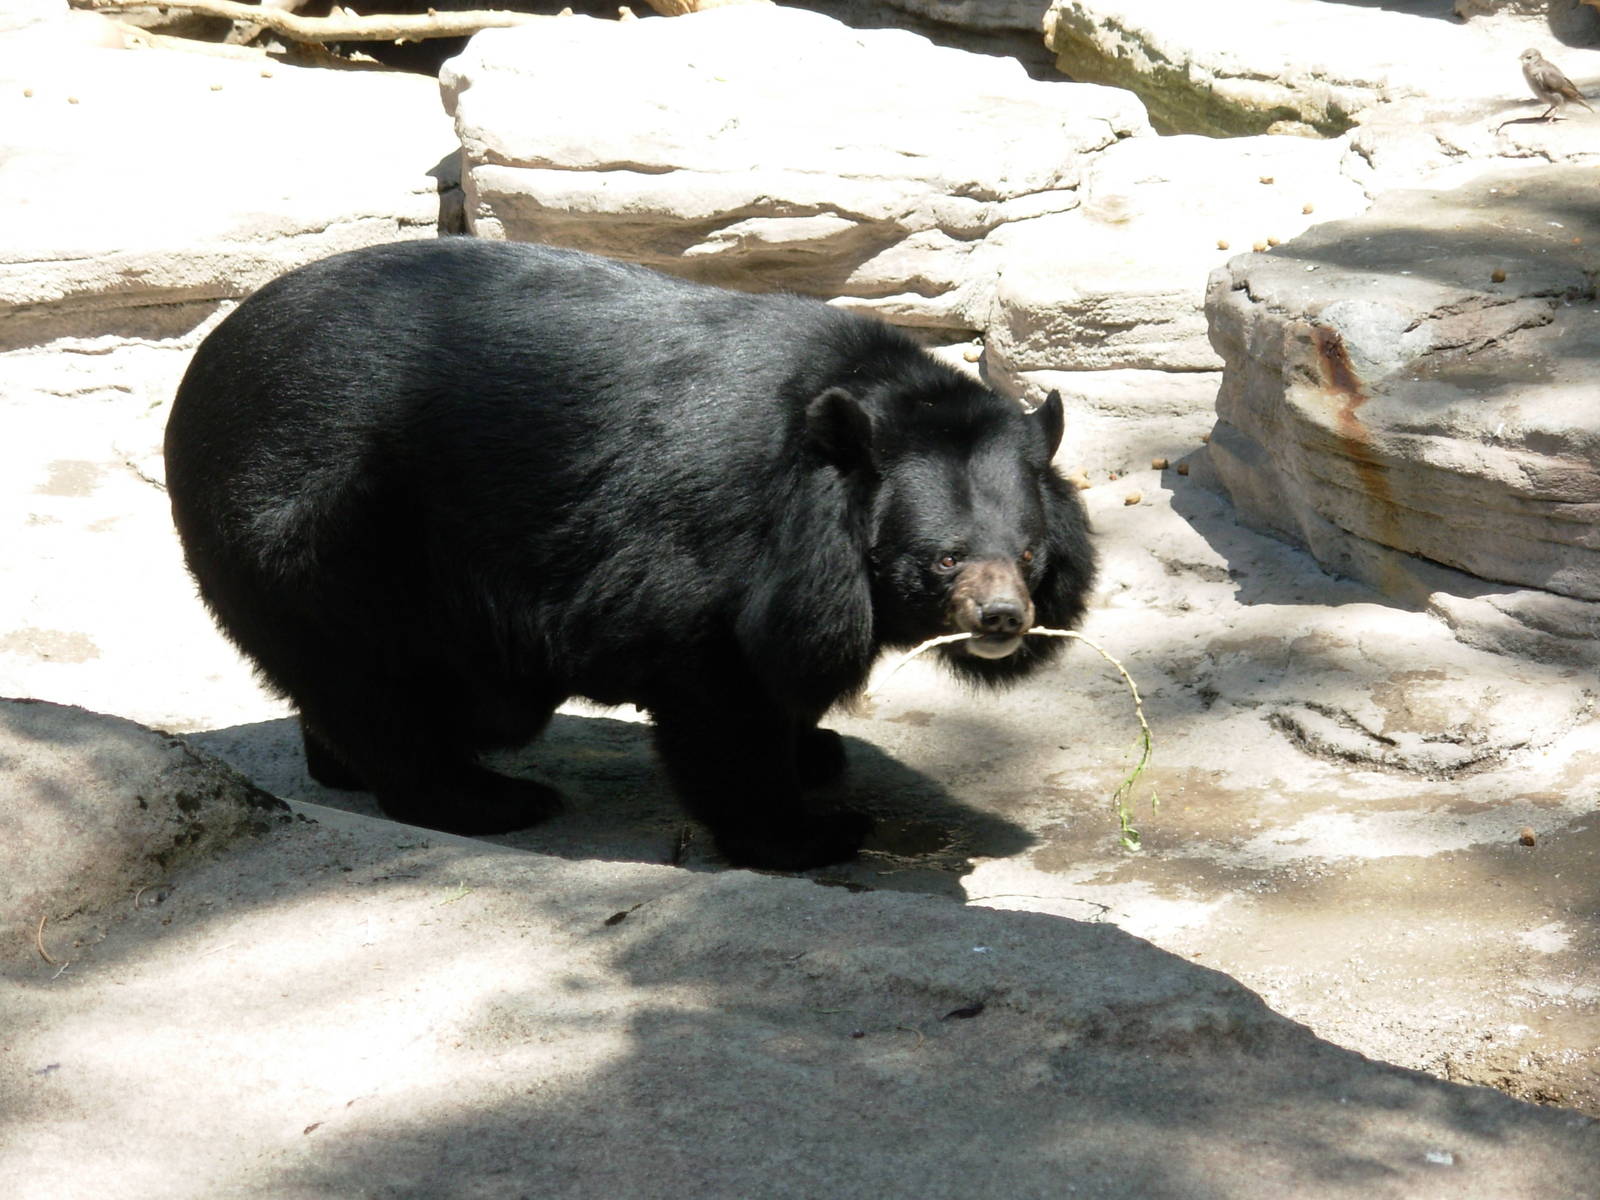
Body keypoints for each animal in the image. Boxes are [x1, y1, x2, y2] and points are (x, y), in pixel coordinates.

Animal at [164, 238, 1094, 871]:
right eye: (942, 559)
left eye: (1028, 552)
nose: (1003, 619)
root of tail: (208, 364)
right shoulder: (716, 552)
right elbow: (723, 695)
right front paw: (807, 833)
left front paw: (818, 753)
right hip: (322, 533)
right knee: (378, 688)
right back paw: (489, 799)